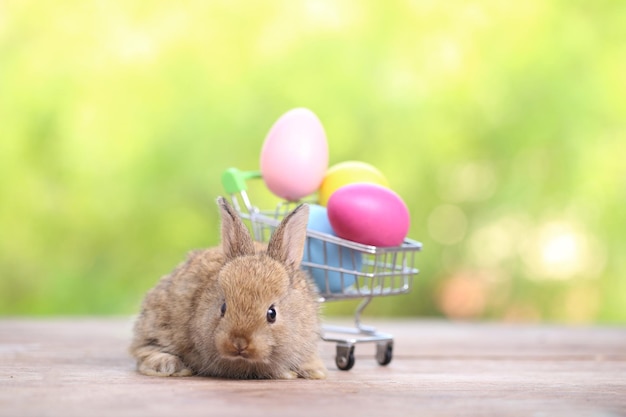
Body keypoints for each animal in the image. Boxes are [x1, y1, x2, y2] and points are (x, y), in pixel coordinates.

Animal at [131, 197, 326, 378]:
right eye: (223, 307)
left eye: (272, 314)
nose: (239, 343)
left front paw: (313, 371)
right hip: (158, 322)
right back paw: (168, 366)